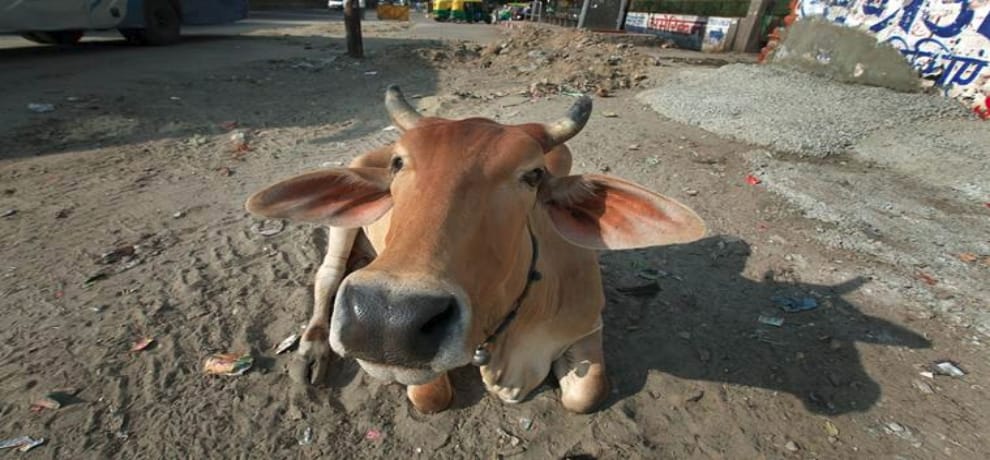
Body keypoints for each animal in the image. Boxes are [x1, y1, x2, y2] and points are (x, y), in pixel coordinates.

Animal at [245, 86, 706, 414]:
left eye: (533, 175)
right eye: (399, 163)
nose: (386, 320)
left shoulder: (589, 325)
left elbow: (587, 394)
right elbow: (431, 397)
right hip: (343, 225)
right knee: (327, 276)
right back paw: (312, 350)